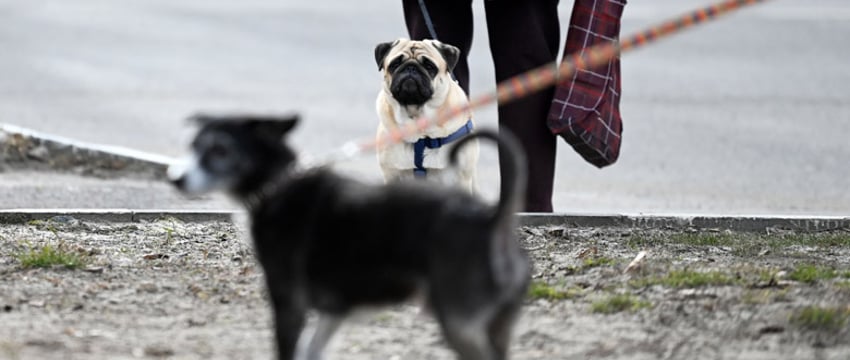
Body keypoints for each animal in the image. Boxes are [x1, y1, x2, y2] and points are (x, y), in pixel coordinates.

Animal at [167, 113, 528, 360]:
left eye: (220, 149)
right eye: (194, 147)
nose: (175, 178)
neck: (279, 185)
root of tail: (491, 220)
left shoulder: (289, 304)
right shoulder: (333, 311)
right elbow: (311, 351)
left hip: (459, 324)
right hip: (496, 325)